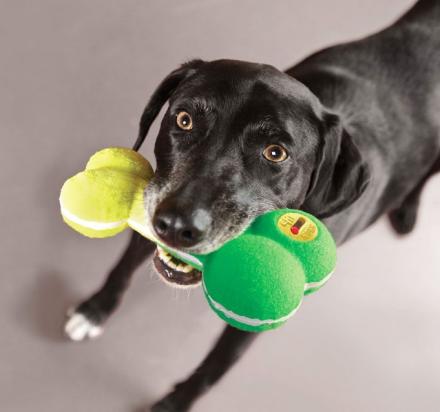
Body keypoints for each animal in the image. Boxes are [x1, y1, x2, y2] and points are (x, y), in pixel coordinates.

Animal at [64, 1, 440, 410]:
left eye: (276, 153)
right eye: (184, 119)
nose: (176, 226)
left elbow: (214, 368)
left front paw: (174, 404)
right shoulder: (154, 203)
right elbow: (122, 268)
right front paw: (94, 310)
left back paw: (406, 210)